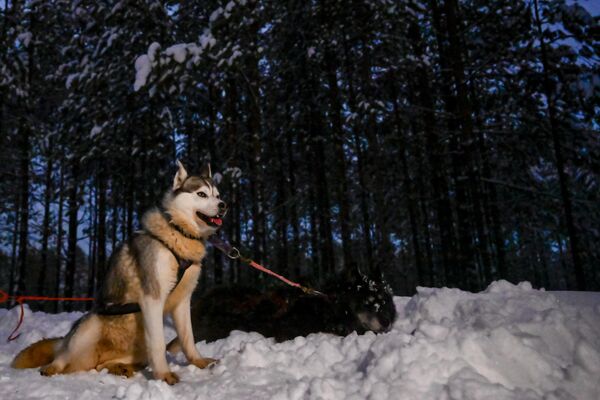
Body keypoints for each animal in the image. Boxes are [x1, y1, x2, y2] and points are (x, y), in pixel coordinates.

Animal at [13, 162, 225, 384]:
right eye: (201, 194)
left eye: (218, 195)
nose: (223, 205)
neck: (179, 233)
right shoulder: (152, 299)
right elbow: (159, 344)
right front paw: (163, 375)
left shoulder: (183, 301)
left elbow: (188, 338)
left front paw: (199, 362)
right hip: (89, 326)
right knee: (63, 357)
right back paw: (51, 368)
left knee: (101, 365)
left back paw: (120, 367)